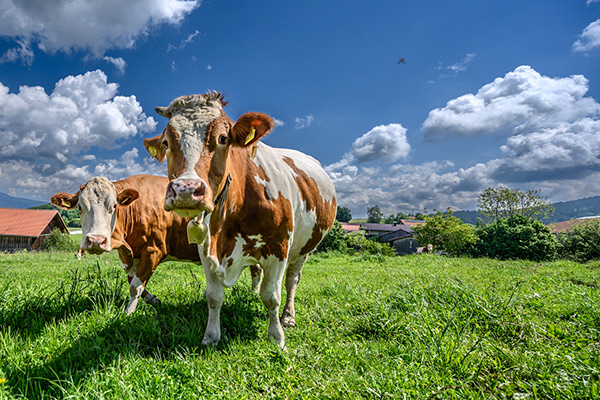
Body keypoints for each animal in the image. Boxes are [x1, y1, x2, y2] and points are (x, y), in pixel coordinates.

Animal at [142, 92, 336, 346]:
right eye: (166, 142)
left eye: (223, 138)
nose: (185, 189)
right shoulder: (206, 248)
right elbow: (214, 296)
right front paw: (211, 336)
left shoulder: (279, 247)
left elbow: (271, 296)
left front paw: (276, 337)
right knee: (257, 272)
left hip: (304, 248)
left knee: (292, 280)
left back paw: (288, 316)